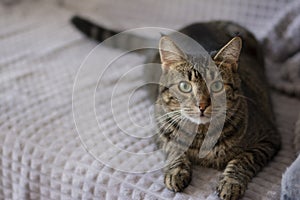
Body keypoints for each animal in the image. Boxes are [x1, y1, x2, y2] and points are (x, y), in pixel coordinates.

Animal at [72, 16, 282, 200]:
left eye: (217, 86)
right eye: (185, 86)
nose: (202, 105)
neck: (201, 134)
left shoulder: (269, 138)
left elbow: (243, 159)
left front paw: (231, 183)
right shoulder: (160, 132)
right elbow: (174, 149)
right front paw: (176, 171)